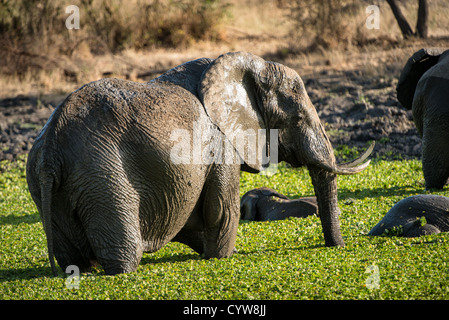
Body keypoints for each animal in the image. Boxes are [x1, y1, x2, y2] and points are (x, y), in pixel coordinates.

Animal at [26, 50, 372, 276]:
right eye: (297, 118)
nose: (337, 248)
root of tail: (51, 148)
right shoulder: (221, 141)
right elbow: (221, 211)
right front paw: (221, 258)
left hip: (49, 187)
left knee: (72, 257)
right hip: (102, 175)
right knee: (124, 255)